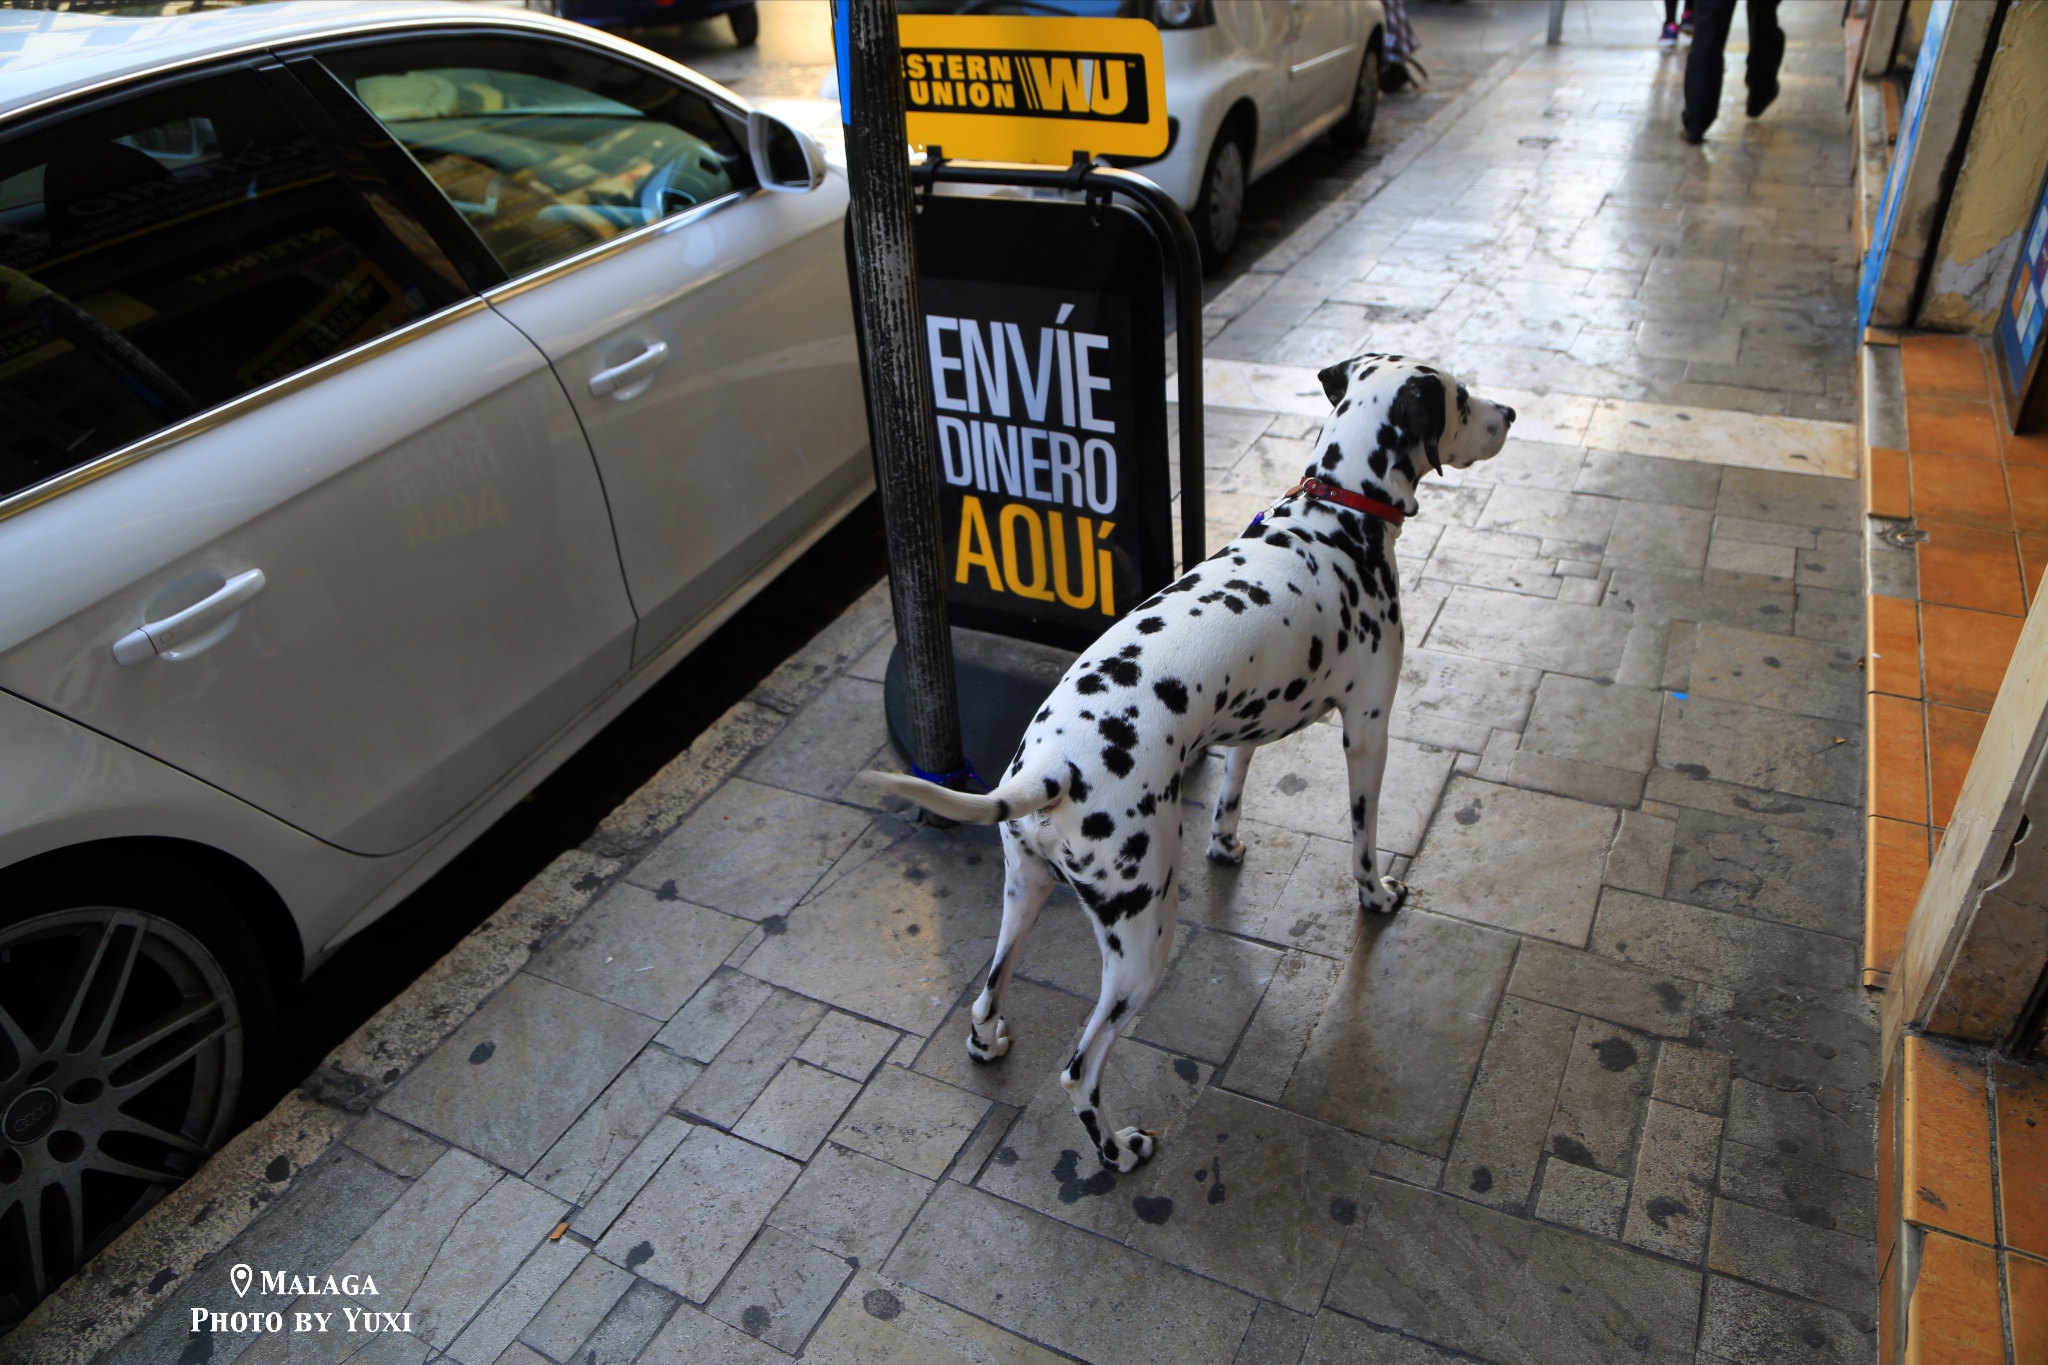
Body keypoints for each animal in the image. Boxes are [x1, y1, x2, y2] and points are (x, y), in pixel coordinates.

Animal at [864, 356, 1523, 1178]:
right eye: (1460, 399)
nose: (1511, 414)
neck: (1334, 519)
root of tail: (1050, 770)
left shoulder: (1252, 715)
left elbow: (1234, 787)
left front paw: (1226, 842)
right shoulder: (1368, 730)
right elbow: (1364, 840)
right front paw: (1377, 894)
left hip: (1025, 893)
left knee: (986, 995)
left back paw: (989, 1044)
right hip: (1141, 946)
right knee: (1079, 1069)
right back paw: (1118, 1150)